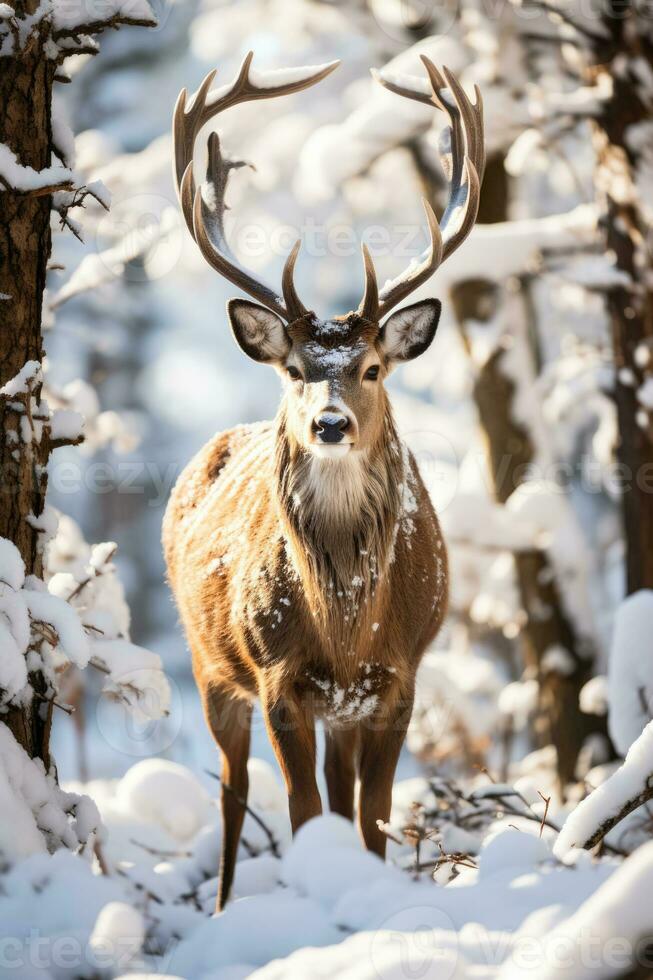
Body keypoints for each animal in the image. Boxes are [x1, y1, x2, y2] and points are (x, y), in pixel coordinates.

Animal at [163, 51, 484, 912]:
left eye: (371, 367)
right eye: (296, 369)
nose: (330, 423)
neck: (344, 628)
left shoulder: (399, 680)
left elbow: (370, 818)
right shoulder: (278, 679)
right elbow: (303, 814)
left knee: (337, 794)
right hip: (209, 667)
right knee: (232, 793)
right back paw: (224, 903)